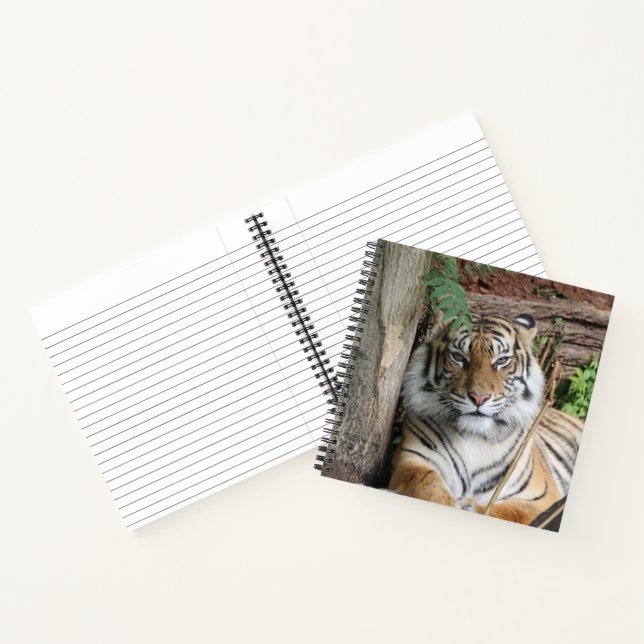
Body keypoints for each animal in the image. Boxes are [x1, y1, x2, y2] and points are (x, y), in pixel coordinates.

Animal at [389, 312, 583, 526]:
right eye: (458, 357)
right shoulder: (411, 460)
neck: (475, 437)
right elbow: (426, 482)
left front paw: (470, 506)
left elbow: (511, 512)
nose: (479, 398)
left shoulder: (542, 498)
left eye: (502, 360)